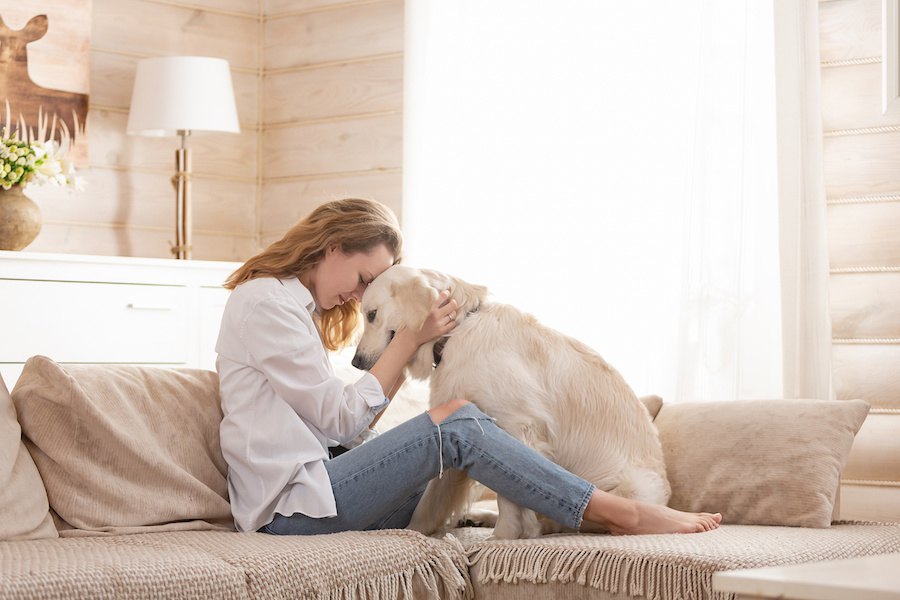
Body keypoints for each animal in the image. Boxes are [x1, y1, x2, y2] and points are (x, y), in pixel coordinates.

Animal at [352, 264, 668, 536]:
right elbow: (431, 500)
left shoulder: (518, 427)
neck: (459, 330)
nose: (355, 362)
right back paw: (479, 517)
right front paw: (413, 532)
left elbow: (509, 496)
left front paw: (504, 537)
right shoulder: (458, 425)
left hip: (629, 486)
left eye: (371, 314)